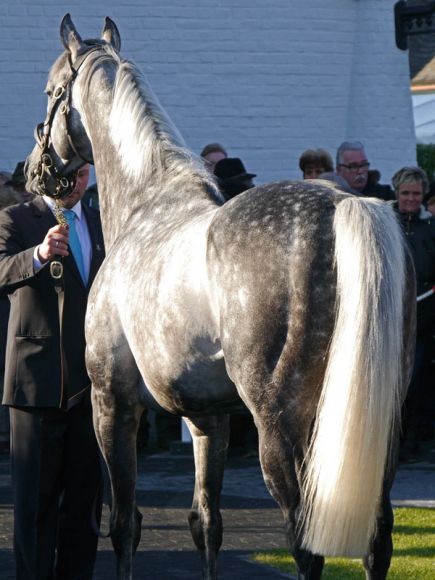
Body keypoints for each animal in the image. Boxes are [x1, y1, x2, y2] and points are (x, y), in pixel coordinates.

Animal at [25, 14, 418, 580]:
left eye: (50, 91)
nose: (35, 171)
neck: (148, 203)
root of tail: (346, 204)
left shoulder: (113, 401)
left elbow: (124, 525)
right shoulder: (208, 418)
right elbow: (205, 524)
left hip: (281, 426)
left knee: (306, 544)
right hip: (375, 428)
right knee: (376, 540)